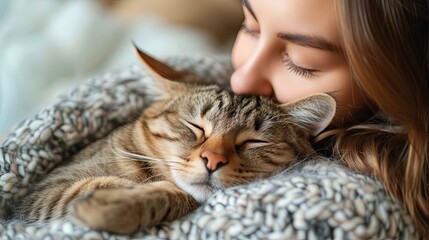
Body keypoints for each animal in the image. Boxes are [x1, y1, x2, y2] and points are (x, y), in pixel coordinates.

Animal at [15, 48, 336, 234]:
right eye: (195, 127)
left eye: (254, 141)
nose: (213, 160)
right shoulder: (41, 193)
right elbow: (93, 186)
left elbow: (175, 193)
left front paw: (120, 205)